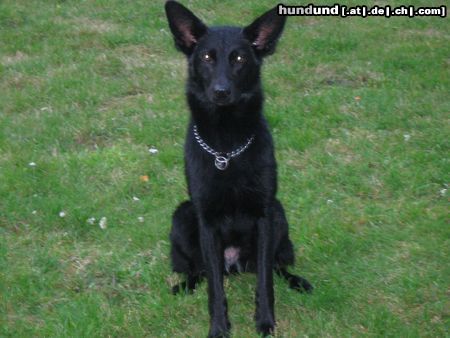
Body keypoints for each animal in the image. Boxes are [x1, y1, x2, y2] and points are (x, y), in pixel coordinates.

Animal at [165, 1, 312, 336]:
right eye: (207, 57)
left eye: (240, 59)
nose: (220, 92)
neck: (225, 148)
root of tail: (234, 264)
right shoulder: (206, 220)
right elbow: (215, 289)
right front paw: (219, 327)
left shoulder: (264, 215)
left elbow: (266, 281)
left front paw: (266, 322)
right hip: (182, 215)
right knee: (200, 272)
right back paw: (184, 285)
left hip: (279, 214)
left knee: (276, 266)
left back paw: (297, 281)